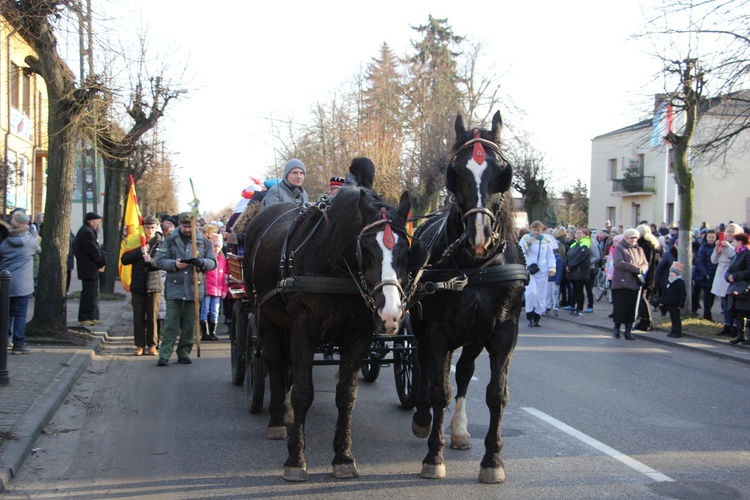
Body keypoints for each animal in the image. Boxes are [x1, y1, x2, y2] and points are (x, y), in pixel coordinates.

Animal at [412, 111, 528, 482]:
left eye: (502, 171)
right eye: (456, 171)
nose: (479, 237)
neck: (476, 267)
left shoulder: (503, 332)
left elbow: (496, 395)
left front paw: (492, 460)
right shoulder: (436, 330)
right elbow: (439, 389)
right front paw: (433, 456)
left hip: (474, 336)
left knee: (463, 371)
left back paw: (460, 431)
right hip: (423, 326)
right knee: (425, 364)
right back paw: (422, 418)